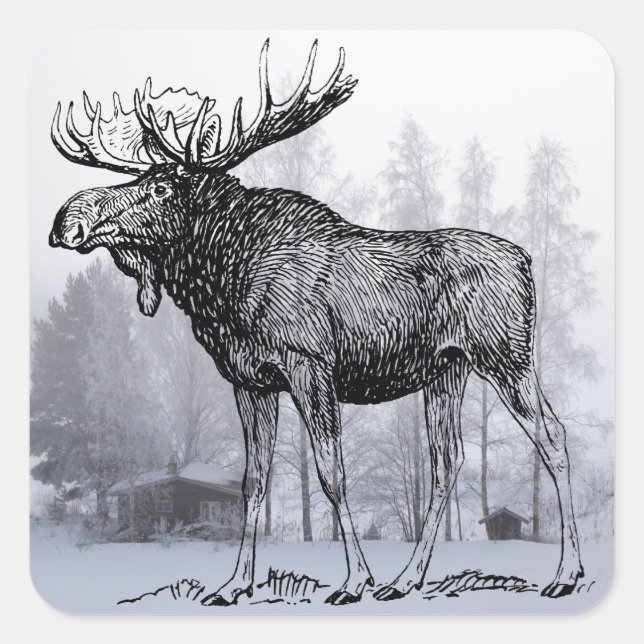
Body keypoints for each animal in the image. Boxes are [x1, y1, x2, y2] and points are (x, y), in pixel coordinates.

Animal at [48, 39, 583, 605]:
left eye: (162, 188)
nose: (67, 219)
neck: (223, 286)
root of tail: (527, 260)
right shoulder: (250, 381)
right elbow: (253, 482)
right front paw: (235, 584)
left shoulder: (311, 367)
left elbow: (332, 474)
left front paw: (354, 580)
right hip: (447, 370)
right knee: (448, 460)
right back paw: (407, 579)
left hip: (506, 355)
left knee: (553, 436)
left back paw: (566, 573)